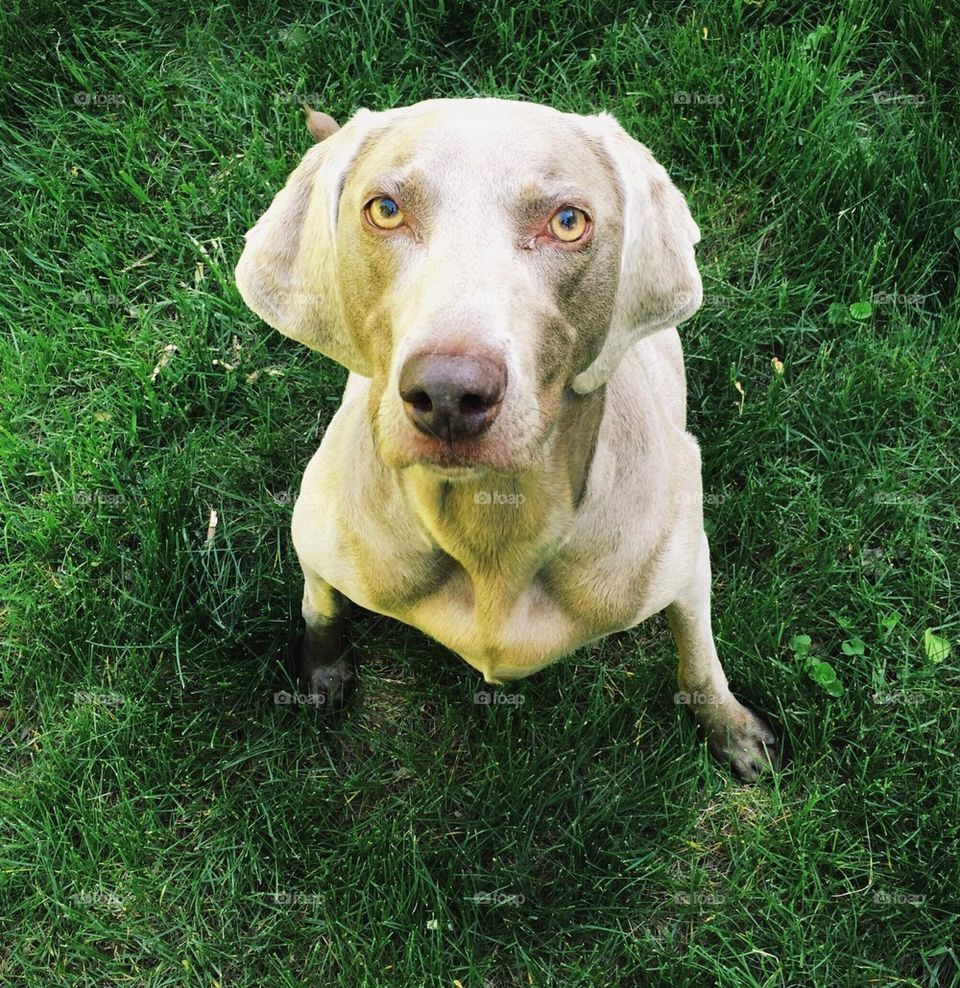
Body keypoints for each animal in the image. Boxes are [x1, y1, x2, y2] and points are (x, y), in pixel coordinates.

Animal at [234, 98, 780, 780]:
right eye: (385, 210)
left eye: (568, 222)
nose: (448, 395)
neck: (492, 527)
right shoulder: (318, 528)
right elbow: (321, 602)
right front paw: (323, 667)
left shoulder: (684, 560)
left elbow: (698, 653)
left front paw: (730, 727)